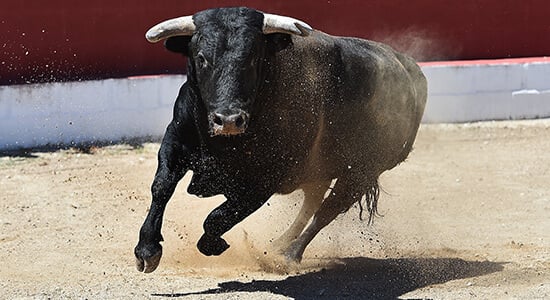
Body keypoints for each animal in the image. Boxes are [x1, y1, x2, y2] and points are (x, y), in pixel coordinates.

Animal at [136, 7, 430, 274]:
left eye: (254, 58)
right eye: (201, 58)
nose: (228, 120)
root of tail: (408, 65)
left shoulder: (264, 182)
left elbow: (218, 217)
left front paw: (214, 244)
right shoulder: (175, 142)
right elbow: (161, 187)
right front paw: (147, 250)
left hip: (362, 172)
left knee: (326, 211)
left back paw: (289, 255)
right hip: (321, 170)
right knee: (313, 202)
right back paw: (278, 245)